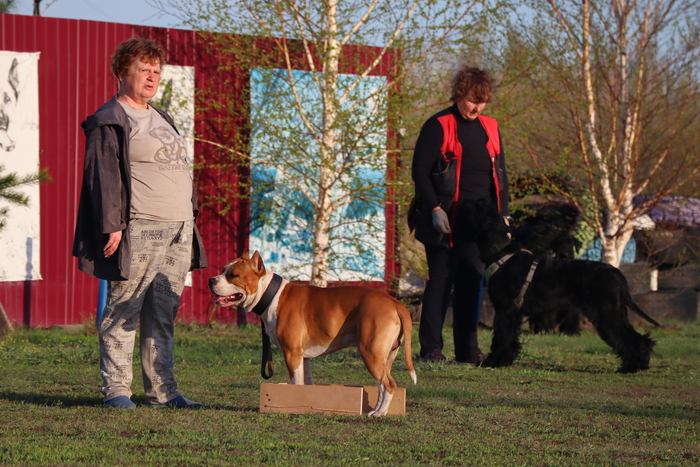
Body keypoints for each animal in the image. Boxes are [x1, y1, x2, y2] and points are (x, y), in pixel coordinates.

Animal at [209, 250, 417, 416]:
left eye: (233, 275)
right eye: (223, 270)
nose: (211, 279)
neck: (271, 294)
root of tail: (395, 303)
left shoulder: (291, 353)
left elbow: (295, 383)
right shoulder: (303, 357)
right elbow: (305, 383)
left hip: (370, 352)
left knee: (388, 385)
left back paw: (379, 413)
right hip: (384, 357)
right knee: (382, 386)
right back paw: (378, 409)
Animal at [459, 199, 659, 373]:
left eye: (477, 207)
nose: (465, 201)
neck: (500, 253)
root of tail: (617, 274)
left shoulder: (505, 310)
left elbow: (501, 336)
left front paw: (494, 361)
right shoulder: (513, 313)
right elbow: (510, 338)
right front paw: (505, 360)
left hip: (608, 313)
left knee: (629, 338)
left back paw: (631, 367)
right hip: (617, 312)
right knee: (640, 339)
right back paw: (637, 364)